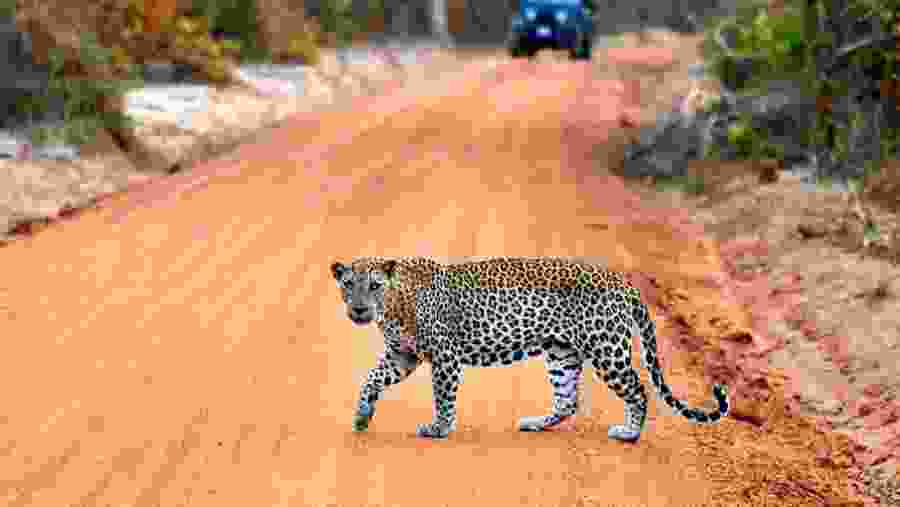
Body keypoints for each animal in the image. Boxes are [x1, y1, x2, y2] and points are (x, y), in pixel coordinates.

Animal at [330, 256, 729, 441]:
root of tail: (623, 282)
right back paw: (536, 423)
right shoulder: (403, 355)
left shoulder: (444, 357)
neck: (395, 305)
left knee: (639, 388)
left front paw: (439, 429)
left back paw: (629, 434)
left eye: (375, 285)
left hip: (606, 349)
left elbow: (443, 397)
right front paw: (362, 416)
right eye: (349, 285)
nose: (360, 309)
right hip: (561, 352)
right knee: (568, 400)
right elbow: (371, 379)